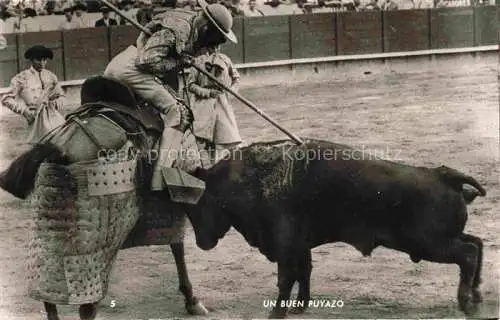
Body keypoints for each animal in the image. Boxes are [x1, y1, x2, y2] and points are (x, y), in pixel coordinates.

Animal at [0, 75, 208, 320]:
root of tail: (59, 149)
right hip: (97, 247)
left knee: (48, 295)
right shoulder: (176, 201)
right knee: (87, 306)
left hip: (48, 231)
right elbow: (178, 247)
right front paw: (192, 300)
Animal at [186, 138, 486, 318]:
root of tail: (441, 174)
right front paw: (300, 306)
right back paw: (477, 294)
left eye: (200, 202)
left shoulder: (285, 246)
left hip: (429, 244)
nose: (202, 242)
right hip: (440, 240)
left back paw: (466, 303)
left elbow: (286, 279)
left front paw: (277, 313)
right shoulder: (300, 246)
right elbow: (304, 273)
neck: (252, 179)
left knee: (469, 253)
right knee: (477, 243)